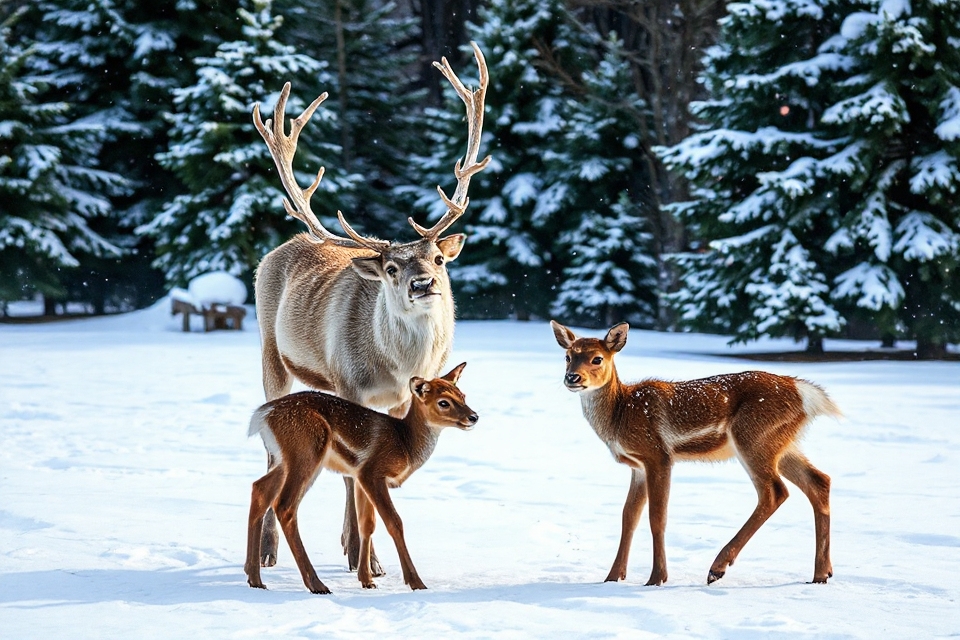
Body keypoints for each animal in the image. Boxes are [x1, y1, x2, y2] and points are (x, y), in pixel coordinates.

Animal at [244, 362, 478, 594]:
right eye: (443, 402)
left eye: (462, 395)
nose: (473, 417)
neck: (405, 443)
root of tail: (263, 416)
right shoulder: (372, 472)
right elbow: (394, 522)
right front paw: (416, 582)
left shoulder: (359, 476)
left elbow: (367, 524)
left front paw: (367, 579)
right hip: (307, 453)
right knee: (285, 505)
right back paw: (316, 584)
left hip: (285, 460)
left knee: (259, 488)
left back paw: (254, 578)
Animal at [251, 42, 490, 576]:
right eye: (393, 268)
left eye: (439, 258)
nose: (423, 283)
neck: (397, 366)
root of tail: (278, 249)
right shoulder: (348, 384)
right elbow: (351, 474)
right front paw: (366, 557)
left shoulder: (404, 399)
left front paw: (360, 550)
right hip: (270, 353)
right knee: (270, 453)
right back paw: (271, 550)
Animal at [550, 320, 841, 587]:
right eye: (568, 356)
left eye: (597, 358)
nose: (572, 378)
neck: (620, 414)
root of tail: (807, 395)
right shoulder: (637, 466)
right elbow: (628, 517)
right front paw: (612, 577)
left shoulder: (658, 455)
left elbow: (657, 517)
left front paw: (657, 578)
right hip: (781, 443)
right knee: (819, 481)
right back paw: (821, 574)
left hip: (753, 437)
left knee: (774, 492)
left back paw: (717, 568)